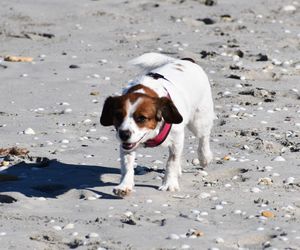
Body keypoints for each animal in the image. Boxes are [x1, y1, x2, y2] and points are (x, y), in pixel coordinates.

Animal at [101, 52, 216, 196]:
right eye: (118, 116)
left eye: (142, 118)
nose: (124, 134)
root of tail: (187, 61)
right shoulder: (128, 146)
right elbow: (127, 166)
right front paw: (124, 185)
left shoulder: (176, 139)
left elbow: (171, 162)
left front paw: (169, 184)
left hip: (199, 121)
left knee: (203, 137)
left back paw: (204, 157)